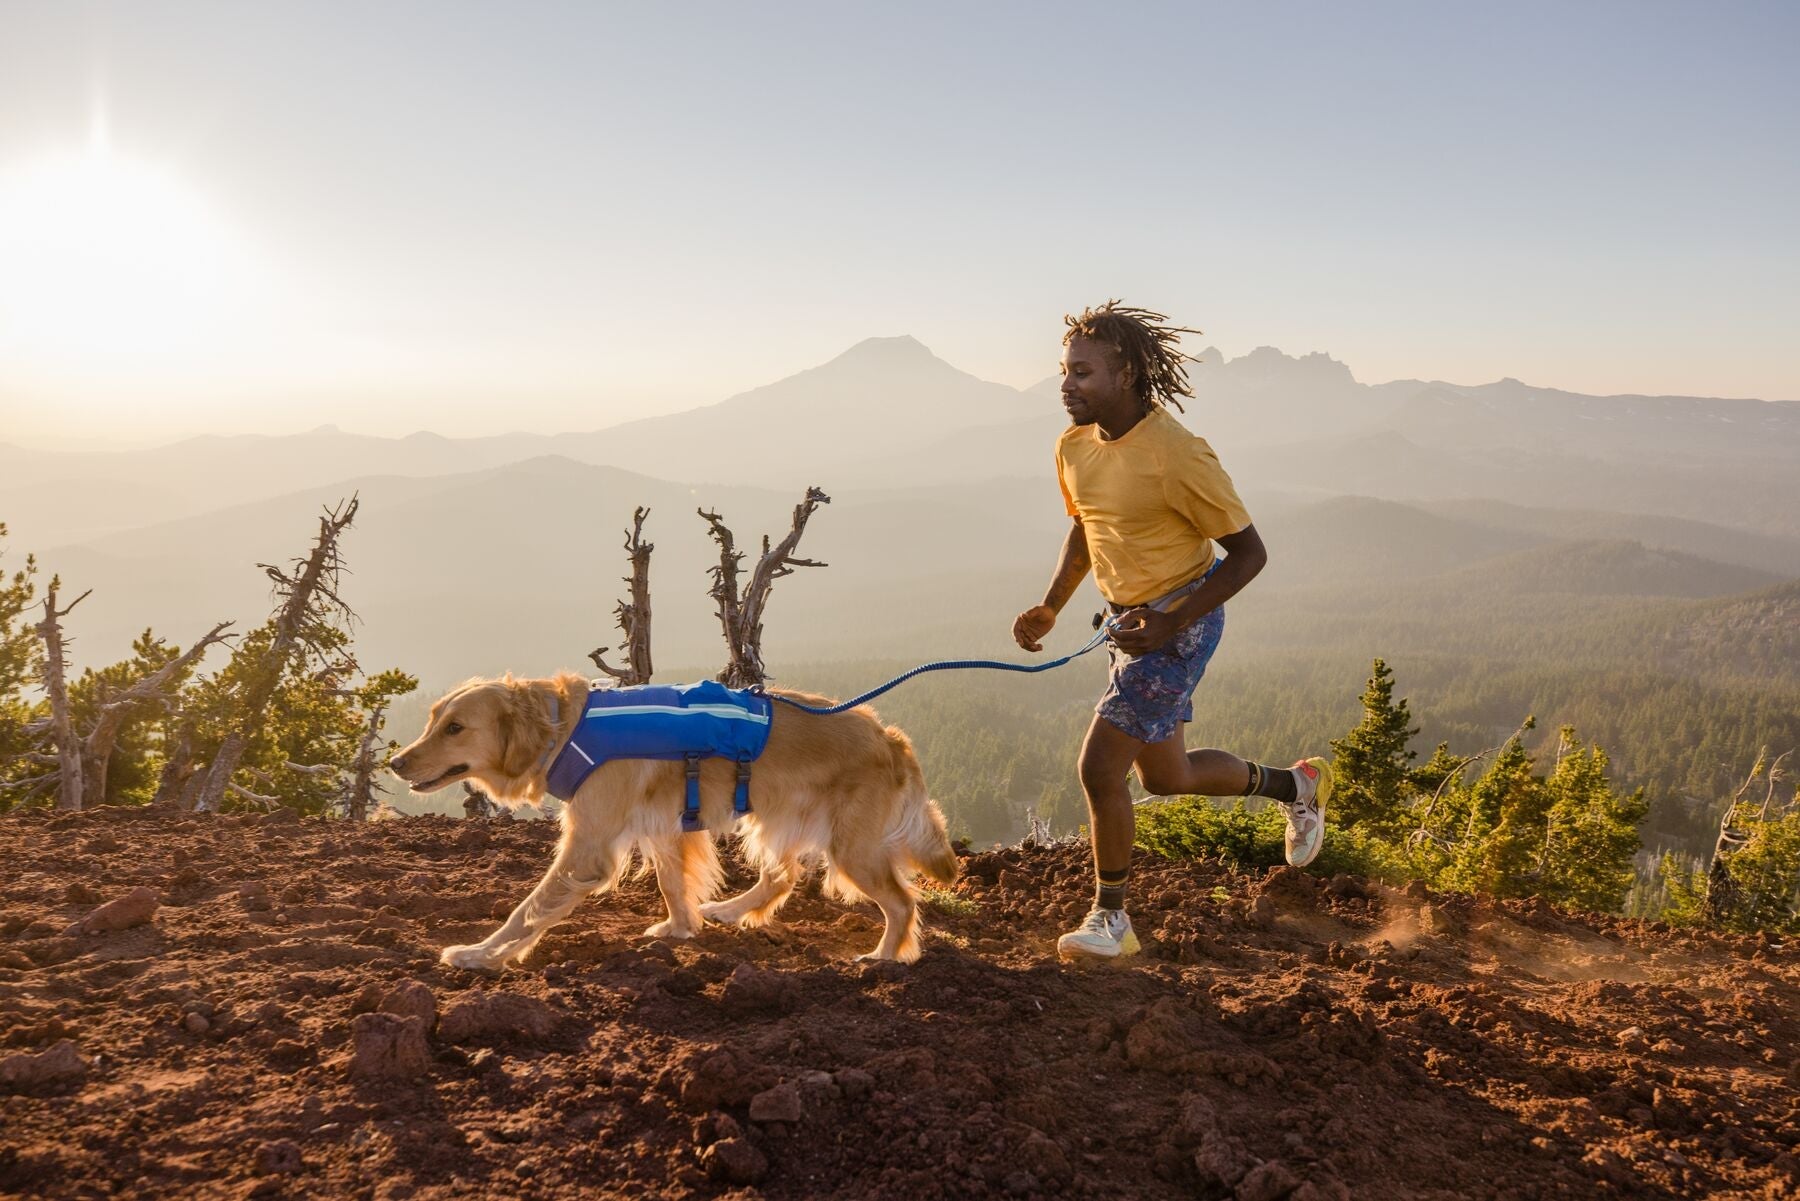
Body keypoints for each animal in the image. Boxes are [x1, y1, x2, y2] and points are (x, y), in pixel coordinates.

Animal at [388, 673, 964, 972]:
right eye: (433, 720)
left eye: (456, 728)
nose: (395, 762)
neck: (564, 729)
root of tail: (889, 737)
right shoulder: (662, 829)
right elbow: (672, 884)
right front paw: (682, 928)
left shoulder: (588, 848)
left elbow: (528, 909)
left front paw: (482, 954)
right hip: (780, 818)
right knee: (783, 876)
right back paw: (730, 911)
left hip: (852, 847)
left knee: (901, 901)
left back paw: (885, 957)